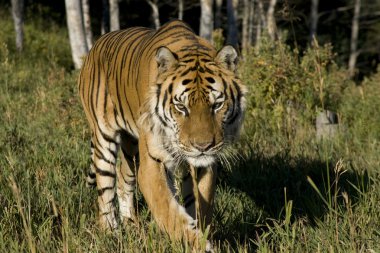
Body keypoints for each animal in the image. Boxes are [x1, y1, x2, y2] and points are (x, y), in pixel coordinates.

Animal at [78, 20, 248, 251]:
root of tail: (96, 44)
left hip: (131, 149)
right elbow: (169, 211)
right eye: (181, 107)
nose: (202, 147)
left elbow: (200, 206)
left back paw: (132, 225)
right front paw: (198, 244)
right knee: (105, 190)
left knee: (123, 179)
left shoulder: (204, 165)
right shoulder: (152, 162)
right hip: (104, 138)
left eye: (217, 105)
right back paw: (111, 233)